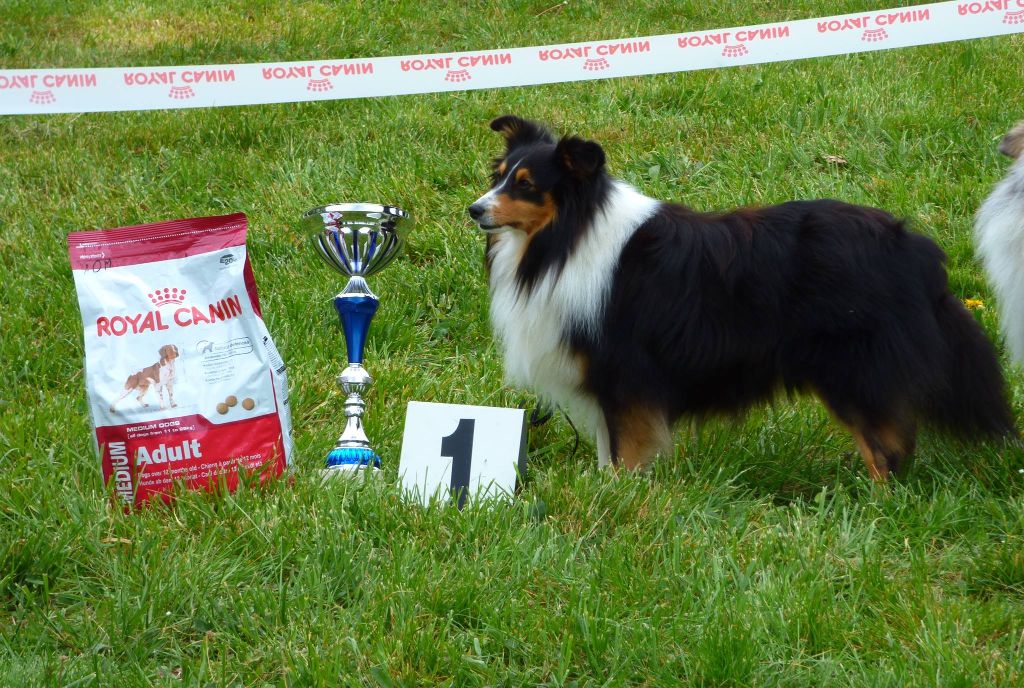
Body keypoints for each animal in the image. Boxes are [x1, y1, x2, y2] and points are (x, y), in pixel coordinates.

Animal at [471, 114, 1015, 479]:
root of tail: (914, 249)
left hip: (852, 368)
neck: (568, 236)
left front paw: (621, 497)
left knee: (888, 447)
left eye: (527, 185)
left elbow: (626, 452)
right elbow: (612, 453)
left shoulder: (624, 375)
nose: (474, 209)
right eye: (497, 176)